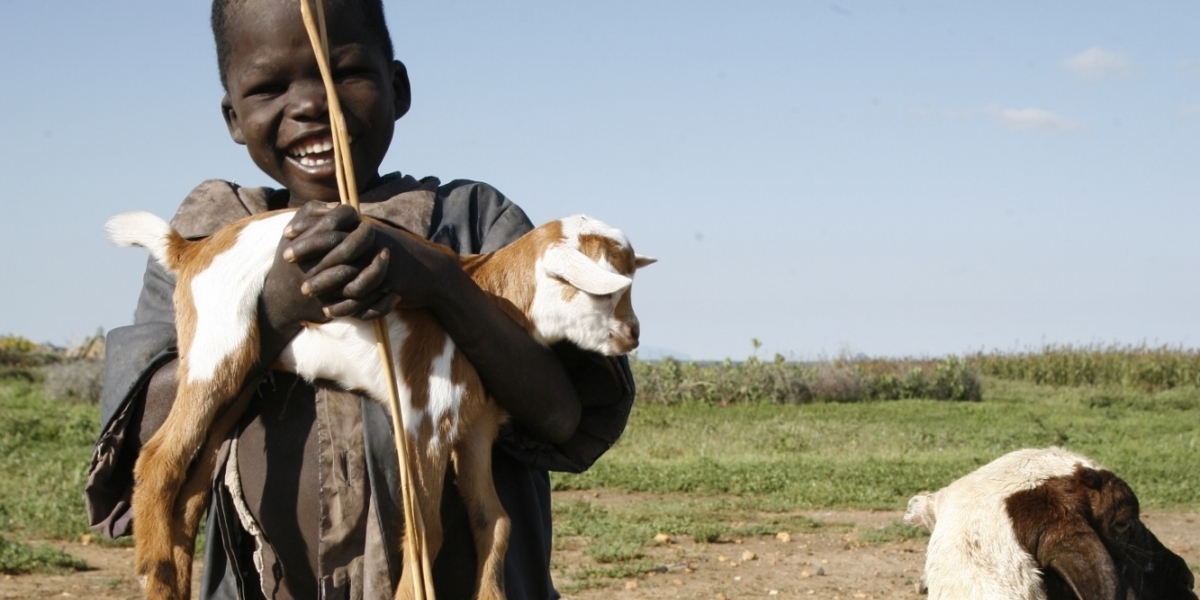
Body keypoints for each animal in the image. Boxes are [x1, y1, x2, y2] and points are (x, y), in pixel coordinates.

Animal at [108, 207, 657, 600]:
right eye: (605, 292)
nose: (633, 334)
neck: (487, 291)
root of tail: (191, 249)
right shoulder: (423, 416)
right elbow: (423, 528)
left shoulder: (476, 426)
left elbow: (494, 520)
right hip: (217, 348)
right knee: (157, 459)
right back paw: (155, 577)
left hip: (241, 375)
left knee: (190, 486)